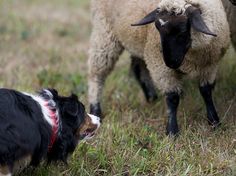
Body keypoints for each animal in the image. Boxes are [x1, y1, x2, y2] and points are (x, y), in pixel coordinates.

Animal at [87, 0, 230, 135]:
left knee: (138, 68)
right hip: (104, 32)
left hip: (136, 42)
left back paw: (151, 98)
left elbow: (206, 92)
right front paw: (172, 131)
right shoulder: (161, 68)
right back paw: (95, 110)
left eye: (183, 30)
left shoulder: (210, 66)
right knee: (97, 74)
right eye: (157, 28)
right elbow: (172, 98)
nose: (171, 63)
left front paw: (214, 122)